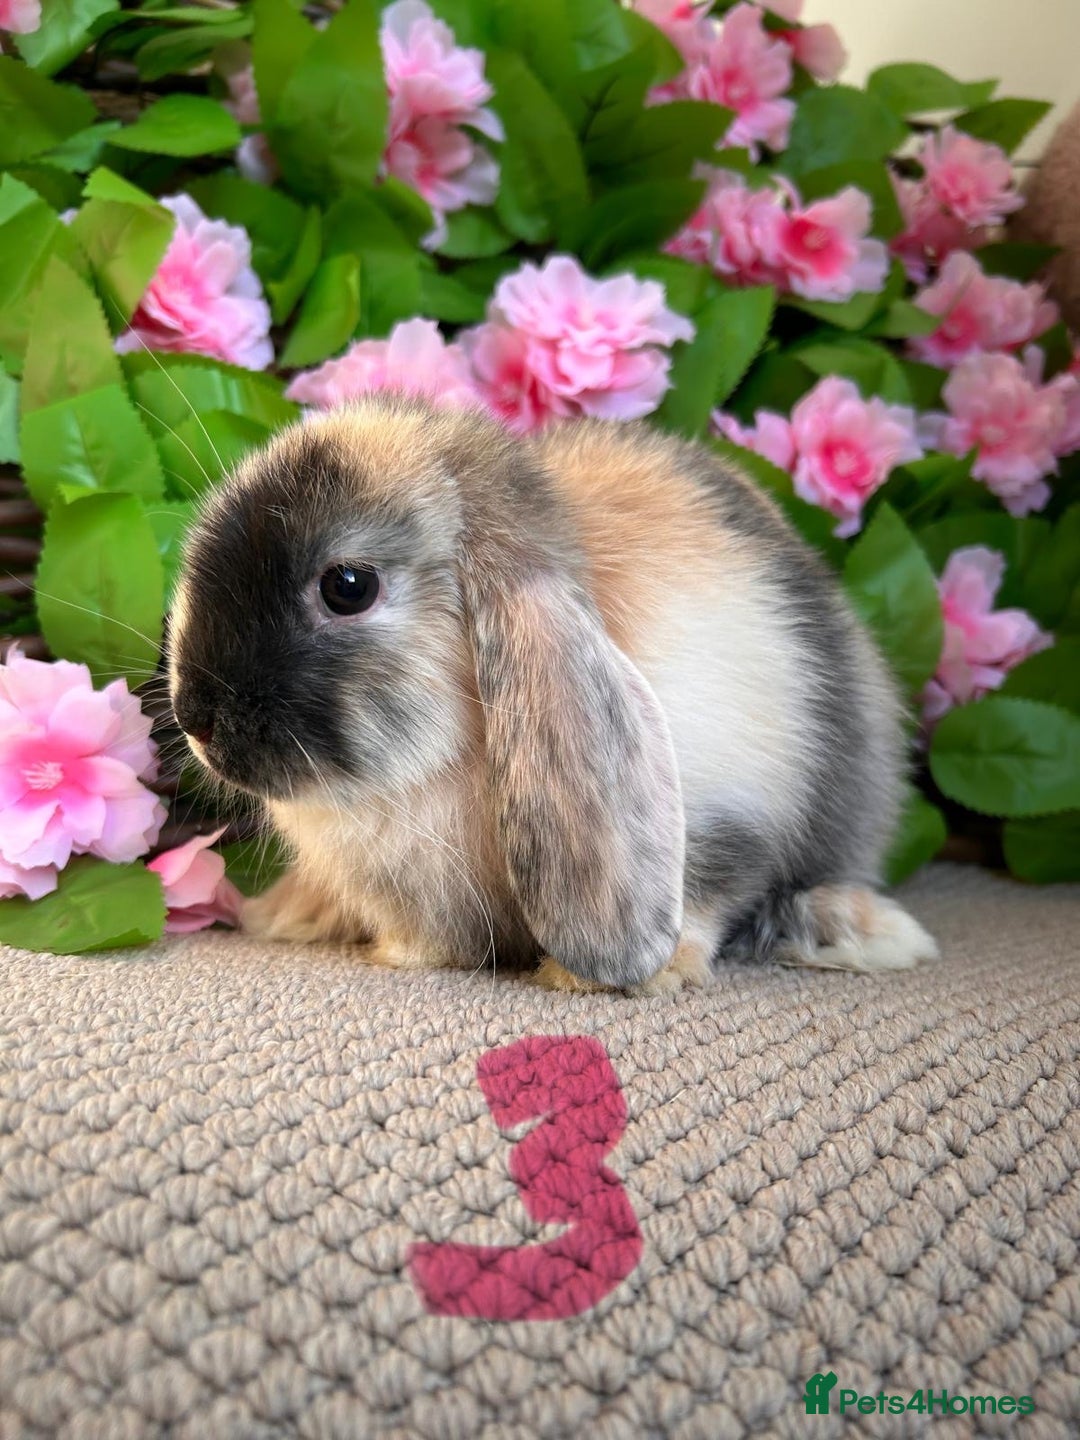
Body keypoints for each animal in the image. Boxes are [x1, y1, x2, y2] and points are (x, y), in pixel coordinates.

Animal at [168, 396, 938, 993]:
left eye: (348, 586)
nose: (195, 719)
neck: (441, 766)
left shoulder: (729, 817)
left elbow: (707, 896)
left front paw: (625, 975)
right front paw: (400, 956)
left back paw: (869, 931)